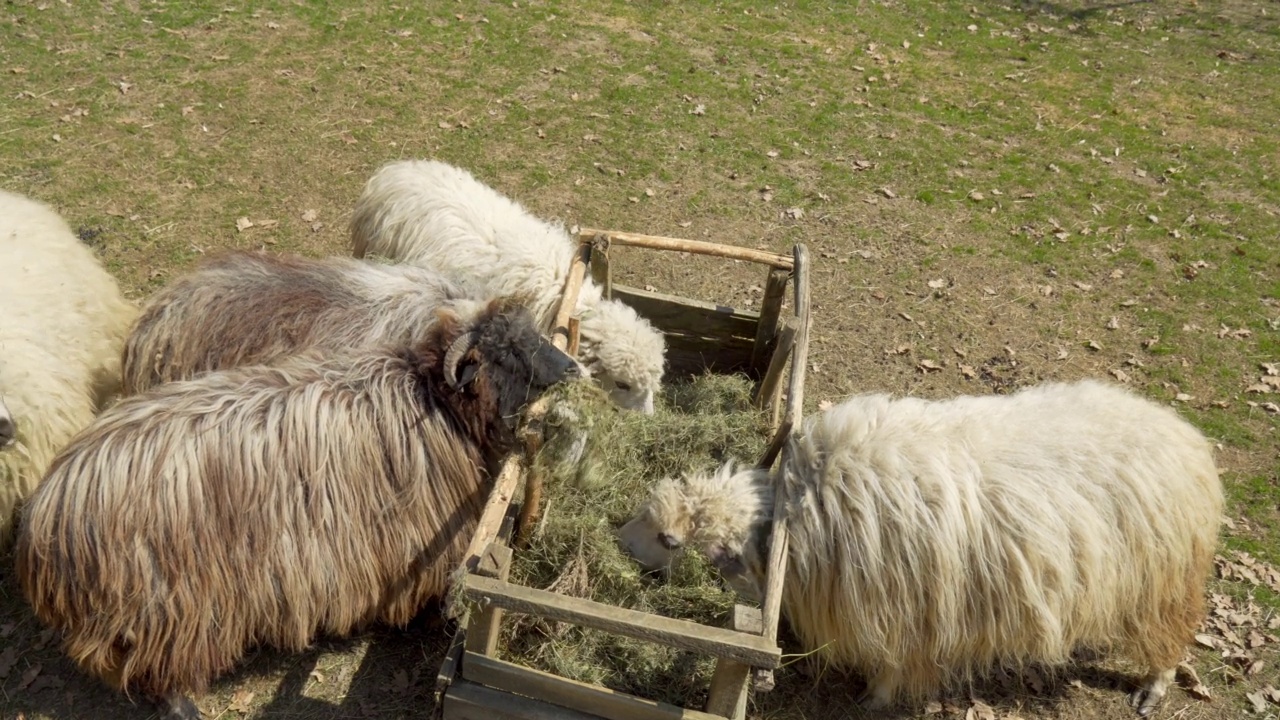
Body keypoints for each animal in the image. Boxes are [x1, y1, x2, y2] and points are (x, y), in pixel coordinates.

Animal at [16, 294, 581, 712]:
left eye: (534, 334)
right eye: (509, 353)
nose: (574, 367)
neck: (432, 401)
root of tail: (47, 512)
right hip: (165, 605)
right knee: (158, 671)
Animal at [624, 379, 1223, 712]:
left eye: (668, 539)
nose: (620, 545)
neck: (798, 521)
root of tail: (1187, 439)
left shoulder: (902, 612)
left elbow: (893, 666)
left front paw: (873, 700)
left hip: (1162, 579)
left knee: (1170, 636)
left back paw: (1152, 688)